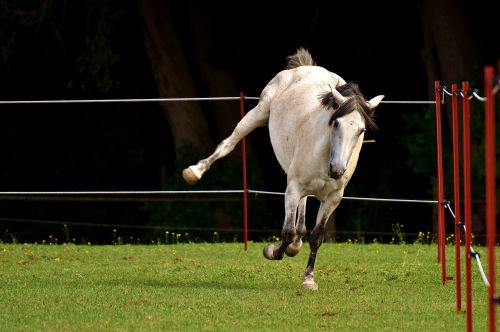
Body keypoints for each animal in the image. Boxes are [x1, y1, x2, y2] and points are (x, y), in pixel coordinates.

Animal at [184, 48, 382, 290]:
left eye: (361, 130)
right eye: (336, 123)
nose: (337, 170)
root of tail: (304, 67)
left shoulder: (333, 198)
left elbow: (316, 237)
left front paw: (308, 279)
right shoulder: (293, 188)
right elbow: (287, 232)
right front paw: (272, 251)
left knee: (303, 215)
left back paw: (296, 246)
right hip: (258, 113)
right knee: (228, 143)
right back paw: (194, 171)